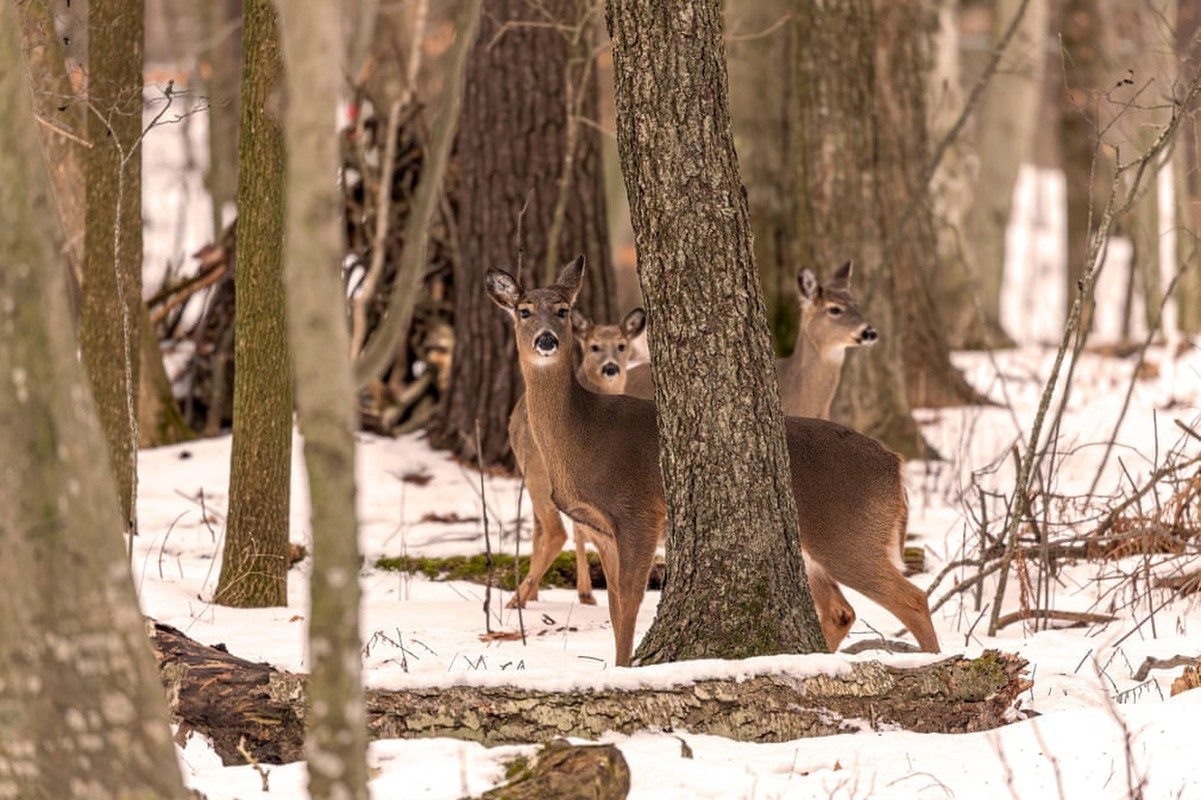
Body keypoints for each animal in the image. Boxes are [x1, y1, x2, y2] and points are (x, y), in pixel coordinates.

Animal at [487, 257, 936, 667]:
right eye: (524, 310)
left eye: (562, 309)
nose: (546, 339)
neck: (583, 434)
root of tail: (896, 467)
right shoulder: (603, 529)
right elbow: (616, 607)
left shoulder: (638, 514)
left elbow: (629, 603)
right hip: (816, 547)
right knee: (842, 611)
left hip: (850, 536)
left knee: (913, 598)